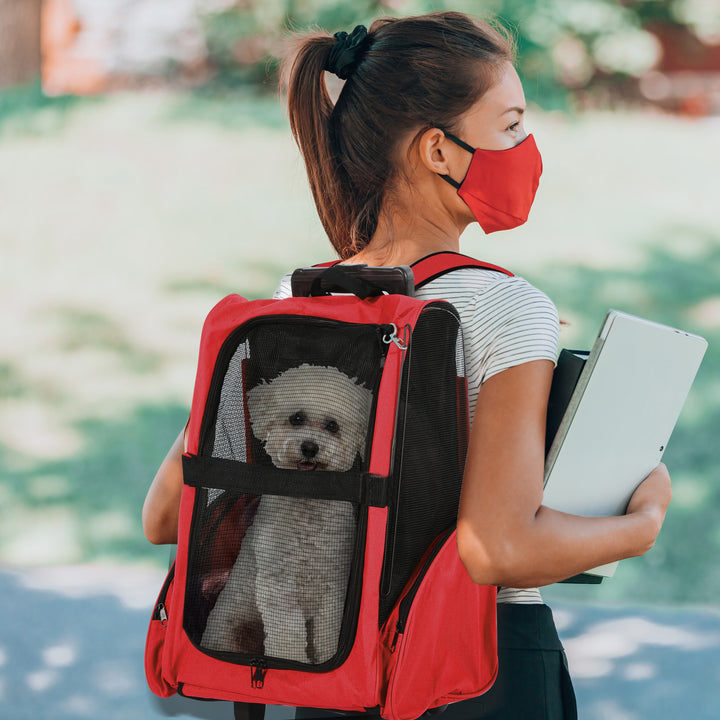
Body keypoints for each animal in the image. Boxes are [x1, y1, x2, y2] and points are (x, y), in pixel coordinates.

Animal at [201, 366, 374, 664]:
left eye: (332, 426)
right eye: (296, 418)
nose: (309, 448)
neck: (308, 512)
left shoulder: (333, 587)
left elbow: (327, 636)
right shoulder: (280, 587)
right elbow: (288, 638)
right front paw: (291, 665)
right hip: (231, 629)